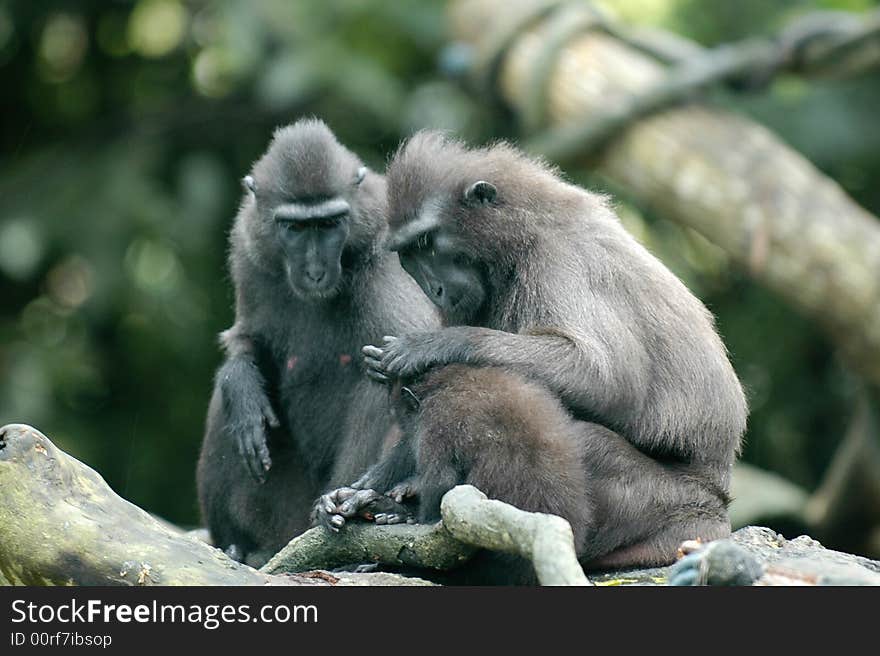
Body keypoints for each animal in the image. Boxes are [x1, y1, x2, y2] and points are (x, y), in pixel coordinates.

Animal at [195, 116, 436, 564]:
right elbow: (246, 341)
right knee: (226, 403)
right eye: (294, 227)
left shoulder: (389, 265)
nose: (315, 272)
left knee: (374, 389)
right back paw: (237, 545)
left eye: (328, 224)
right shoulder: (248, 247)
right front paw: (242, 383)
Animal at [312, 129, 744, 580]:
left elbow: (608, 379)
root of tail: (715, 513)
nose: (435, 289)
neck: (519, 237)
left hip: (668, 505)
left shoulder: (559, 258)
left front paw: (430, 346)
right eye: (409, 253)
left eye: (428, 242)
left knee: (576, 439)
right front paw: (359, 492)